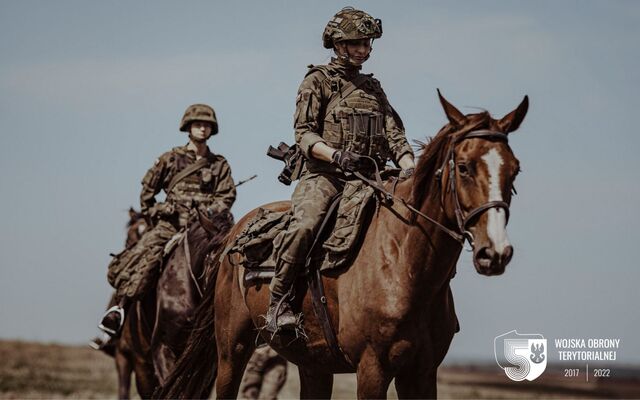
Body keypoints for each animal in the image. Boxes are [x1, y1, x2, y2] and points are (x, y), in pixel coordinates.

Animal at [158, 92, 528, 398]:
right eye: (463, 168)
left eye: (514, 170)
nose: (495, 253)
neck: (404, 265)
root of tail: (232, 237)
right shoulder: (372, 369)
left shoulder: (421, 373)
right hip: (232, 350)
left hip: (313, 365)